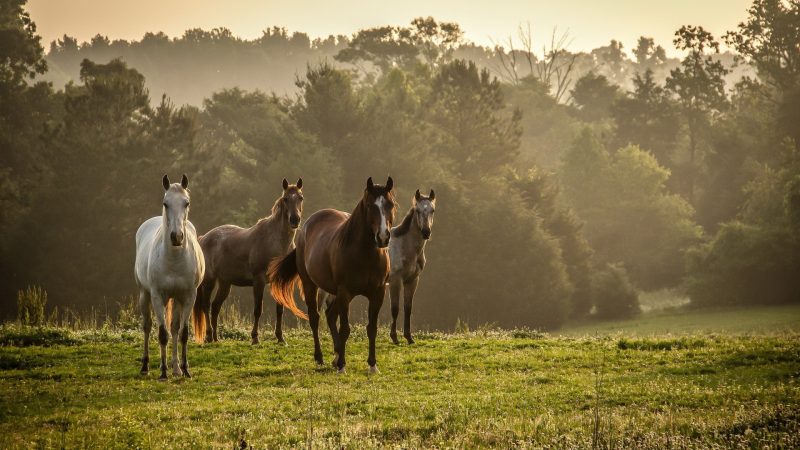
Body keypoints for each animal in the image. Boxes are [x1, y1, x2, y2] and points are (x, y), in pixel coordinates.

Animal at [134, 175, 205, 380]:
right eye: (165, 204)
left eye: (186, 203)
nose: (177, 237)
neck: (174, 260)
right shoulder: (158, 296)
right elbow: (162, 334)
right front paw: (163, 372)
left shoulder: (188, 297)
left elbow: (182, 333)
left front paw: (185, 369)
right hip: (145, 294)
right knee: (148, 326)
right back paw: (146, 366)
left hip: (177, 299)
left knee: (174, 328)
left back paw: (176, 368)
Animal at [192, 178, 308, 342]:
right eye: (285, 199)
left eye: (300, 198)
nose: (294, 220)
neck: (276, 242)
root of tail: (203, 238)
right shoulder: (258, 281)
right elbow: (258, 309)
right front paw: (255, 338)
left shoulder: (277, 280)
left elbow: (280, 310)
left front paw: (280, 338)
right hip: (209, 280)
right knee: (206, 305)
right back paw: (208, 336)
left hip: (225, 283)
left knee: (215, 307)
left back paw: (216, 338)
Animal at [268, 176, 396, 372]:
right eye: (370, 206)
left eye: (390, 204)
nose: (383, 237)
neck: (365, 254)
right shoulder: (345, 293)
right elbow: (345, 329)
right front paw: (342, 365)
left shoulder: (378, 293)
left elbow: (371, 328)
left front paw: (372, 365)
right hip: (311, 285)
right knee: (315, 318)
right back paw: (320, 357)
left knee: (330, 316)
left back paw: (335, 356)